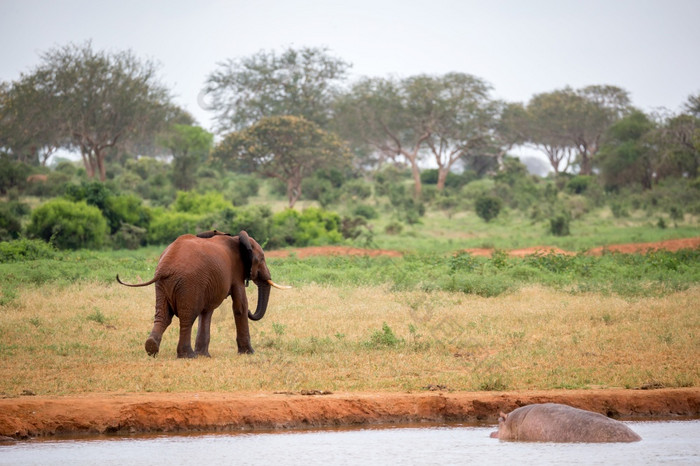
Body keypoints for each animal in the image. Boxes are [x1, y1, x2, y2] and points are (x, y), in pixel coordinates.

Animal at [116, 229, 288, 356]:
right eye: (262, 259)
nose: (253, 312)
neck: (237, 238)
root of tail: (165, 266)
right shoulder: (236, 273)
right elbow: (240, 306)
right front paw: (249, 353)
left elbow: (207, 312)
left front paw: (204, 355)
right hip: (188, 283)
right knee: (187, 317)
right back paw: (188, 355)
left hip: (164, 286)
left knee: (163, 315)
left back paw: (152, 348)